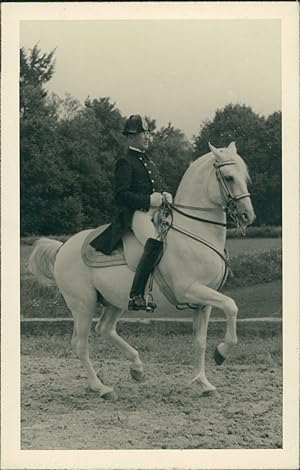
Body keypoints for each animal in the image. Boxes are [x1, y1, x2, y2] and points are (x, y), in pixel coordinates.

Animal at [28, 142, 255, 396]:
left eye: (244, 176)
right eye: (229, 177)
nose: (248, 215)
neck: (195, 233)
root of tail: (62, 247)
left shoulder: (204, 301)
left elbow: (200, 341)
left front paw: (204, 383)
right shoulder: (191, 290)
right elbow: (231, 306)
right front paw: (221, 353)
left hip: (114, 301)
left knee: (105, 329)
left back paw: (136, 368)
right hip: (83, 304)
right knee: (81, 344)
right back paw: (101, 387)